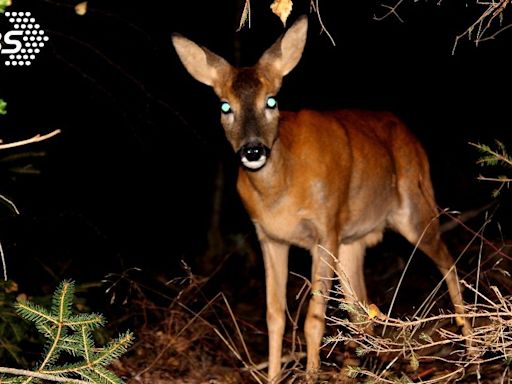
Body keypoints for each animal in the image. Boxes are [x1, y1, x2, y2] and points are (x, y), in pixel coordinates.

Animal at [173, 15, 472, 384]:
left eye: (271, 101)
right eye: (225, 106)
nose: (253, 150)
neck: (280, 191)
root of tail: (412, 137)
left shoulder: (325, 228)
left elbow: (314, 320)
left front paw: (311, 374)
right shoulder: (269, 237)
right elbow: (274, 316)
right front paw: (273, 377)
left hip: (415, 208)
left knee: (449, 263)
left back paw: (472, 352)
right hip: (352, 242)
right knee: (362, 309)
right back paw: (355, 371)